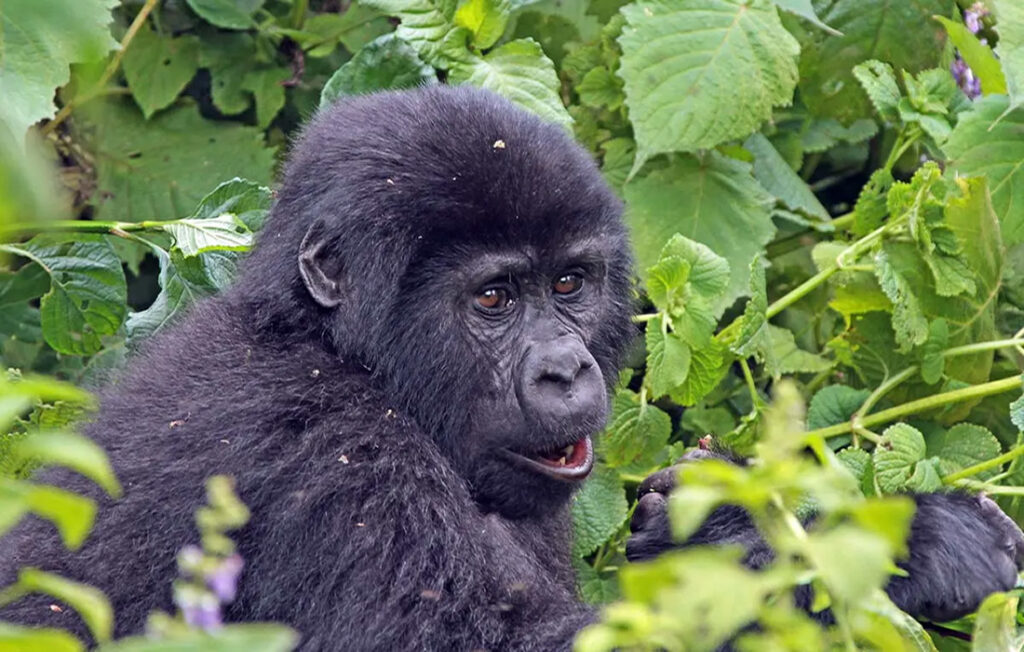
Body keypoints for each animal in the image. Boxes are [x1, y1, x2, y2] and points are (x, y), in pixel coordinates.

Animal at [2, 84, 1024, 646]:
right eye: (493, 300)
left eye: (570, 284)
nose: (567, 372)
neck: (337, 352)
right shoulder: (326, 457)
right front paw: (912, 546)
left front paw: (722, 524)